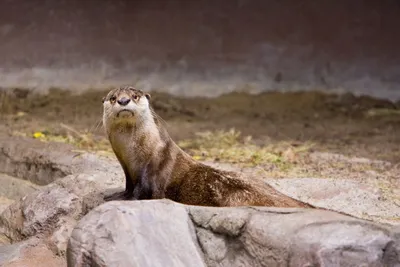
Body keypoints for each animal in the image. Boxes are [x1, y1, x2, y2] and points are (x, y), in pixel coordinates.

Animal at [101, 86, 314, 209]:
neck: (135, 154)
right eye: (112, 98)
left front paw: (124, 201)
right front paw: (117, 195)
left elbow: (143, 193)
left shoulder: (154, 167)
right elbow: (129, 186)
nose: (123, 101)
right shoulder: (128, 170)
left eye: (135, 96)